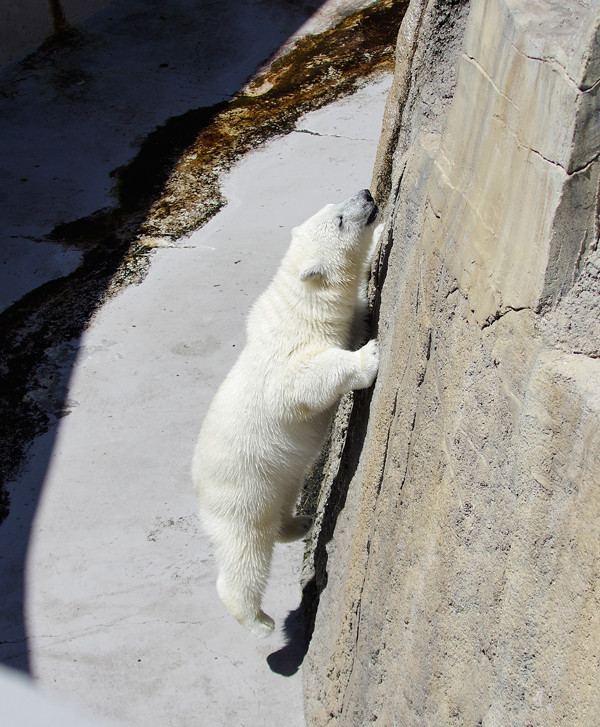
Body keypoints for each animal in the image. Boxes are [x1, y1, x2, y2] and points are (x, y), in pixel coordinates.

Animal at [192, 188, 380, 636]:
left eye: (337, 205)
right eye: (340, 219)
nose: (367, 193)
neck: (302, 307)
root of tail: (197, 486)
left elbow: (355, 318)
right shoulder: (288, 357)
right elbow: (305, 382)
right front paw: (368, 357)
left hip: (274, 479)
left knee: (279, 510)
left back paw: (301, 522)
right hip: (241, 491)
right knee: (246, 553)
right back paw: (259, 621)